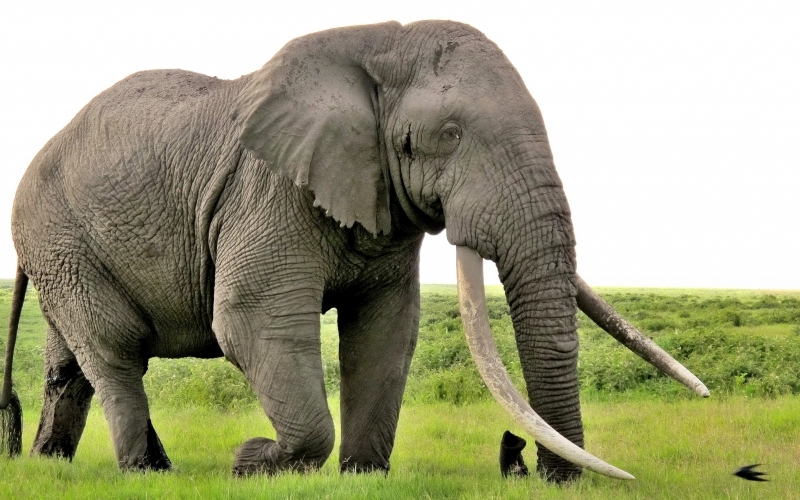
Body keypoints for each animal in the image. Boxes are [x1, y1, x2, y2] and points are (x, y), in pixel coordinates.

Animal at [0, 20, 709, 481]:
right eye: (449, 134)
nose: (529, 466)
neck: (375, 46)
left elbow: (386, 332)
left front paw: (363, 476)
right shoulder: (269, 190)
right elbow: (252, 321)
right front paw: (253, 462)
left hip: (63, 248)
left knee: (70, 366)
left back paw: (52, 463)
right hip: (58, 235)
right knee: (115, 350)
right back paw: (146, 473)